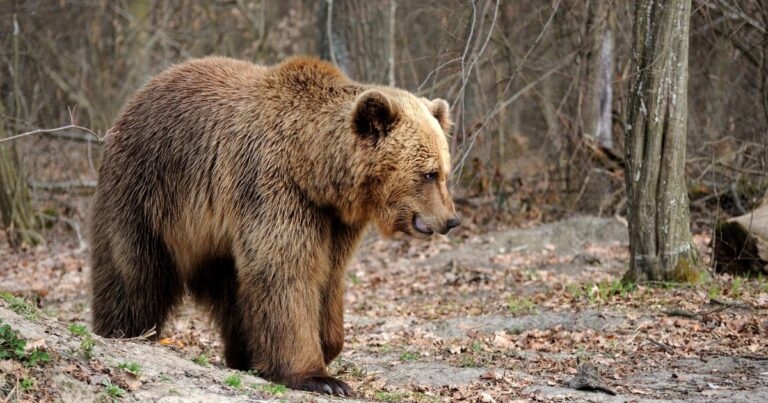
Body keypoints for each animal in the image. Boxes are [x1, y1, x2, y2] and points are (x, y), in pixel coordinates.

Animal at [90, 56, 460, 395]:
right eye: (428, 173)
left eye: (444, 171)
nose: (451, 220)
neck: (313, 168)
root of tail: (135, 98)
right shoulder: (273, 188)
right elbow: (285, 272)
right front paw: (320, 377)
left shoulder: (333, 220)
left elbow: (328, 275)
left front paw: (327, 344)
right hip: (146, 189)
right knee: (134, 272)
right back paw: (124, 331)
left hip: (210, 237)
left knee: (232, 290)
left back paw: (245, 355)